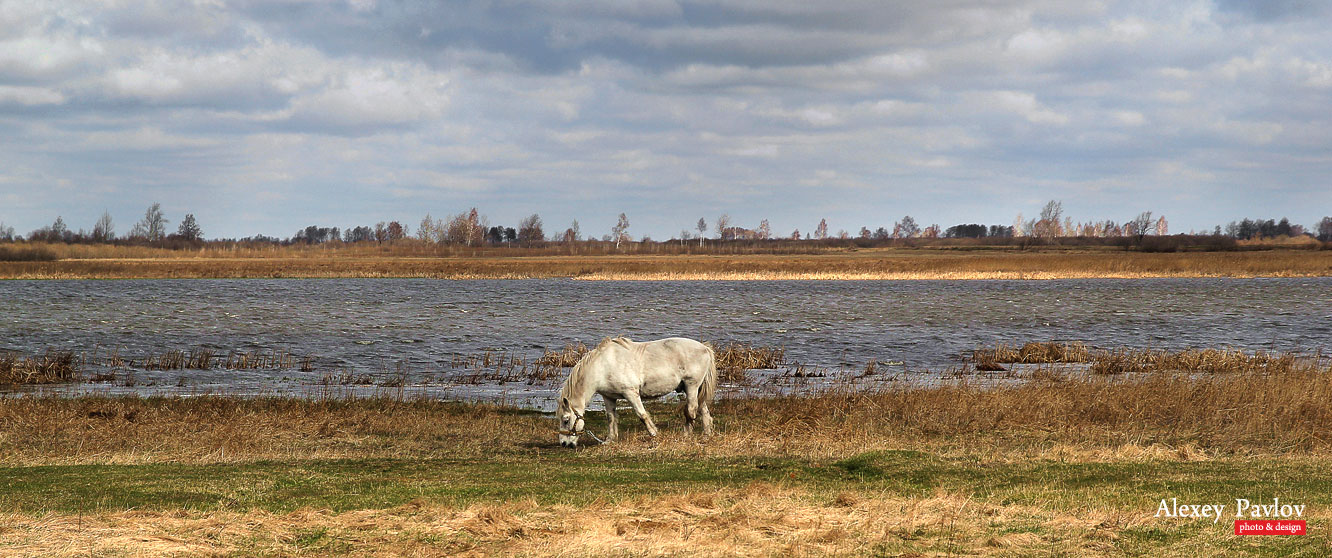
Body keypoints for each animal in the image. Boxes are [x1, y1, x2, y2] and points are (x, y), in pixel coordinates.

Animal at [554, 336, 713, 450]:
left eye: (566, 420)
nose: (564, 443)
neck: (603, 366)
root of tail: (704, 348)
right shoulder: (608, 397)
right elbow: (611, 417)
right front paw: (610, 440)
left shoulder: (630, 393)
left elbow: (642, 415)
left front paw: (654, 433)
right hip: (696, 390)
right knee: (703, 411)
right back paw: (706, 434)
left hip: (691, 387)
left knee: (691, 410)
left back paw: (686, 434)